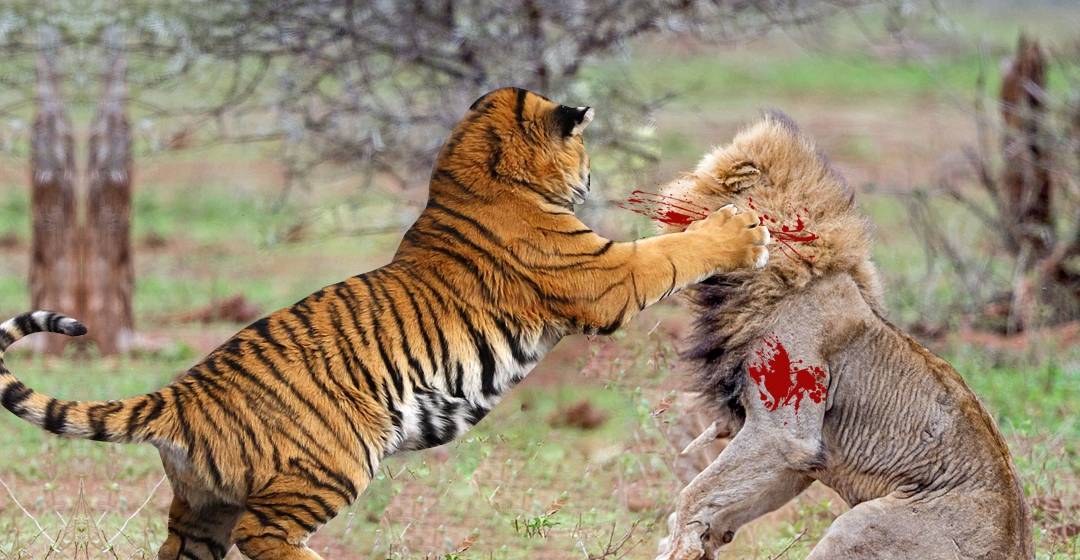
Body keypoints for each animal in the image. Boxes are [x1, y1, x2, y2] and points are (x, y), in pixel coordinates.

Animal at [0, 87, 769, 560]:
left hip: (200, 506)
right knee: (264, 533)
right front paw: (741, 229)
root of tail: (181, 394)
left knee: (185, 546)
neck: (478, 170)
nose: (590, 179)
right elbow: (670, 252)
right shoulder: (605, 276)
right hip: (333, 461)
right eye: (583, 151)